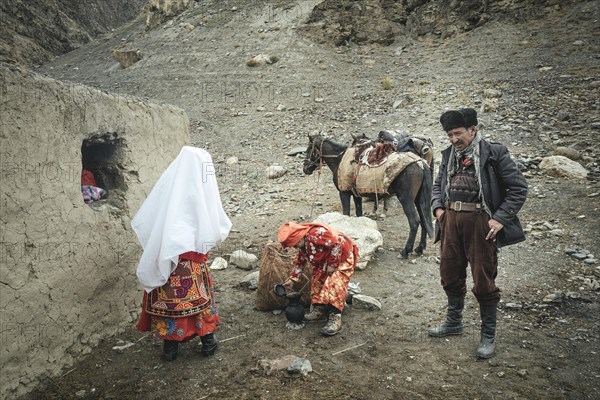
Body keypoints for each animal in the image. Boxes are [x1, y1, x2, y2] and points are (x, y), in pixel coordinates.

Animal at [304, 135, 432, 260]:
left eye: (309, 149)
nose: (305, 168)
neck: (339, 160)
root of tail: (421, 163)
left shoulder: (344, 193)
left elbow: (346, 214)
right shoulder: (356, 196)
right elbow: (359, 214)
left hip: (406, 199)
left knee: (414, 221)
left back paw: (405, 251)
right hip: (418, 200)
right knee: (423, 220)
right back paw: (419, 249)